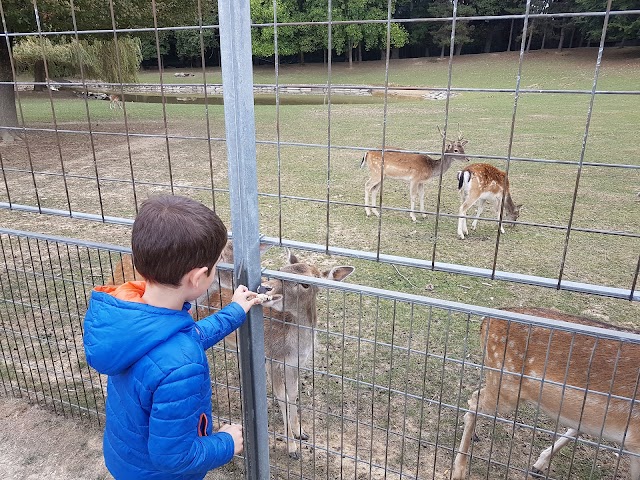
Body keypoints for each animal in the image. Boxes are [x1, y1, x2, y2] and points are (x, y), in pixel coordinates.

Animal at [450, 308, 640, 480]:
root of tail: (485, 321)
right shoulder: (635, 442)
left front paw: (538, 465)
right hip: (504, 384)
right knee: (475, 399)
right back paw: (459, 470)